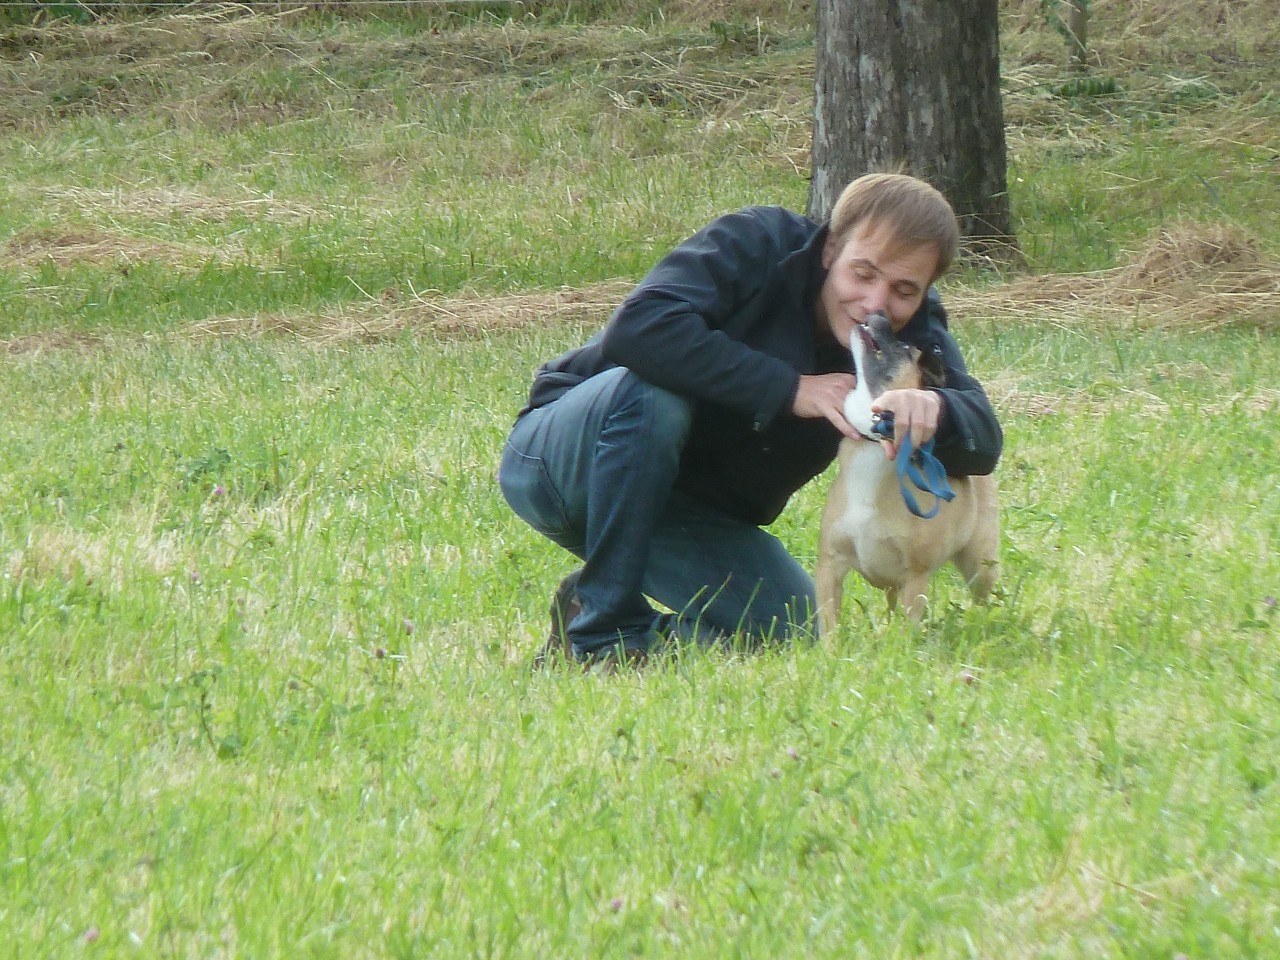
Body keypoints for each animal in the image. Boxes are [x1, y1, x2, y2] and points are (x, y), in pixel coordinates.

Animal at [819, 312, 998, 634]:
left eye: (903, 347)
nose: (879, 315)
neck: (875, 442)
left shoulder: (915, 576)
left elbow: (907, 629)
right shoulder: (830, 566)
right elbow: (829, 627)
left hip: (980, 564)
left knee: (983, 596)